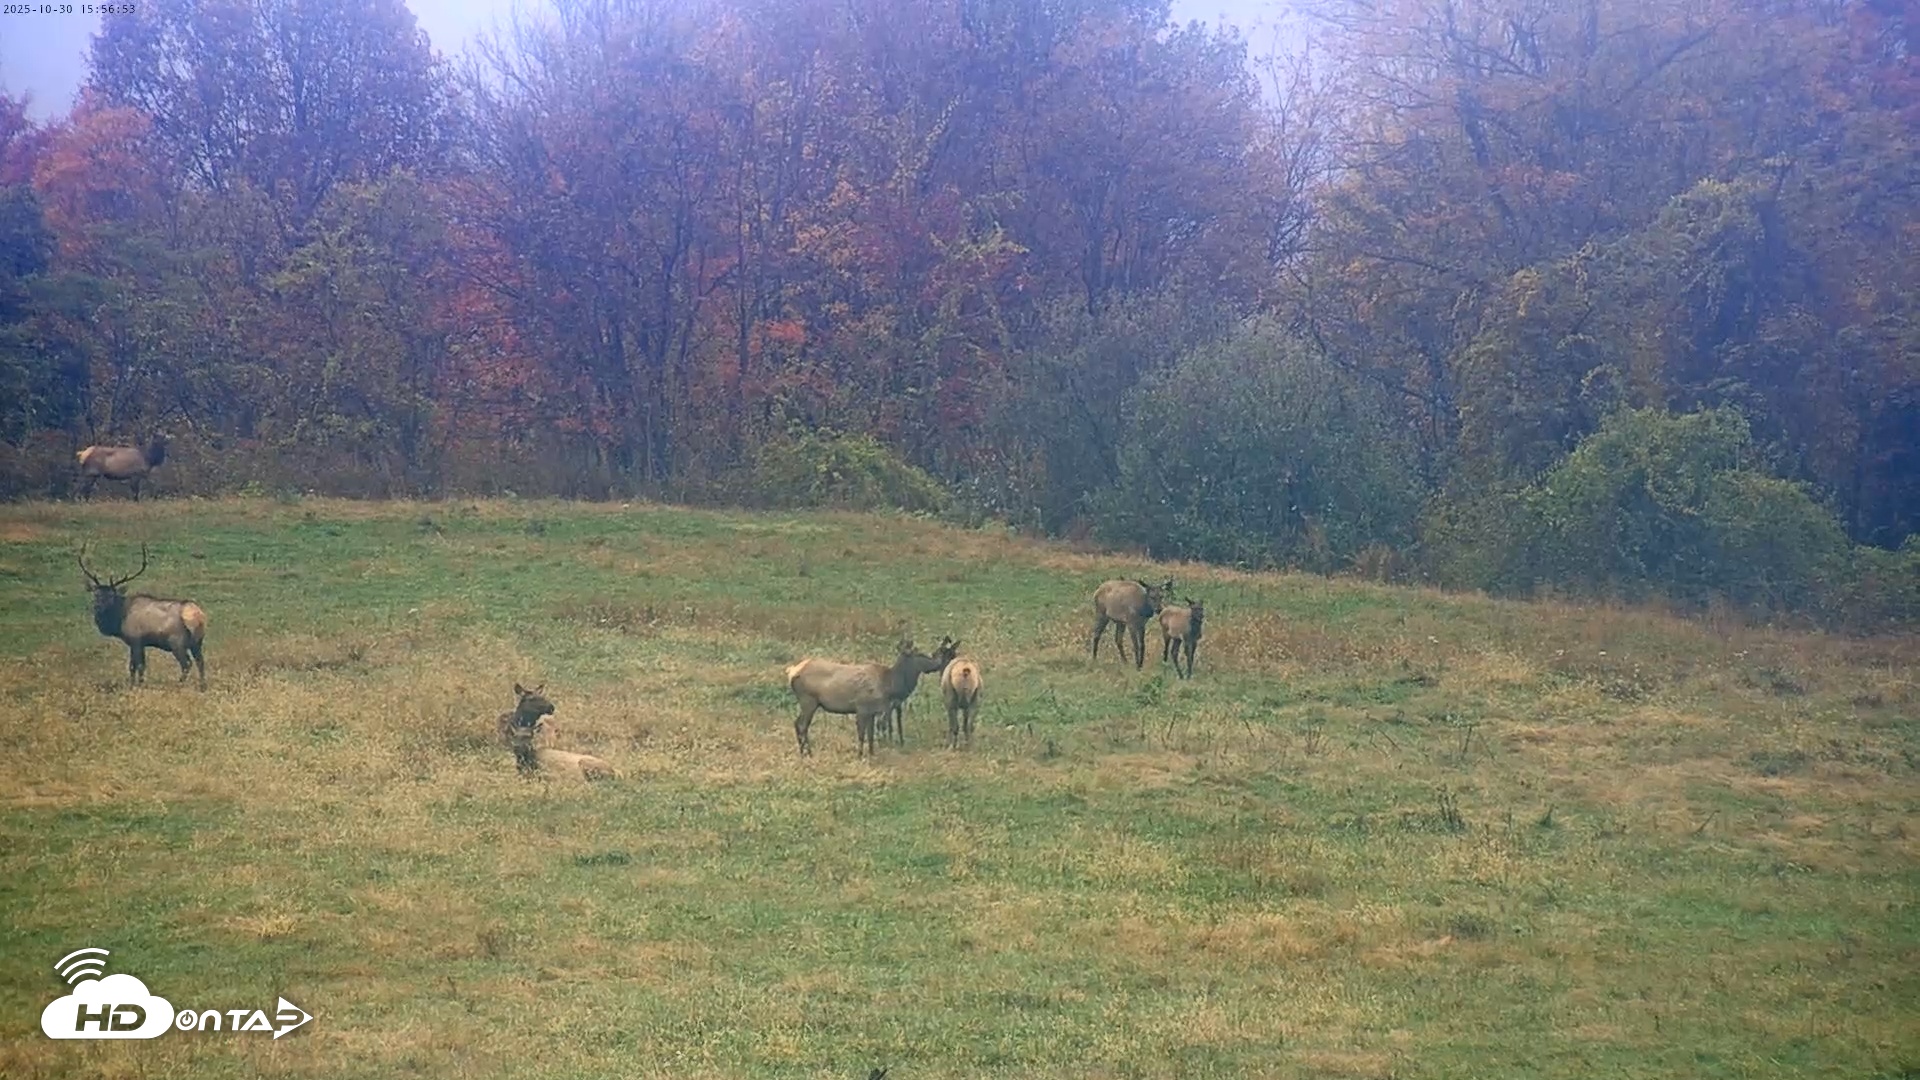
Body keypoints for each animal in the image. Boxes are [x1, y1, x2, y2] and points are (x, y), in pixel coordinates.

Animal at [78, 541, 208, 689]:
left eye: (111, 595)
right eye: (96, 594)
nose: (98, 607)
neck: (119, 620)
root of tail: (197, 615)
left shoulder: (136, 639)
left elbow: (137, 666)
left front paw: (136, 685)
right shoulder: (139, 642)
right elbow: (137, 666)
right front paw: (136, 683)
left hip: (176, 641)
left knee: (186, 664)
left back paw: (179, 683)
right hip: (197, 641)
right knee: (200, 661)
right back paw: (202, 686)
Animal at [785, 638, 954, 757]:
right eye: (920, 655)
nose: (938, 661)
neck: (890, 685)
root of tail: (791, 672)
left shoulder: (873, 711)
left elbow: (871, 735)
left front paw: (872, 753)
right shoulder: (861, 708)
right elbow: (862, 734)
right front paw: (860, 755)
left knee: (797, 723)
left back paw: (803, 752)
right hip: (809, 700)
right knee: (802, 725)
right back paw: (808, 752)